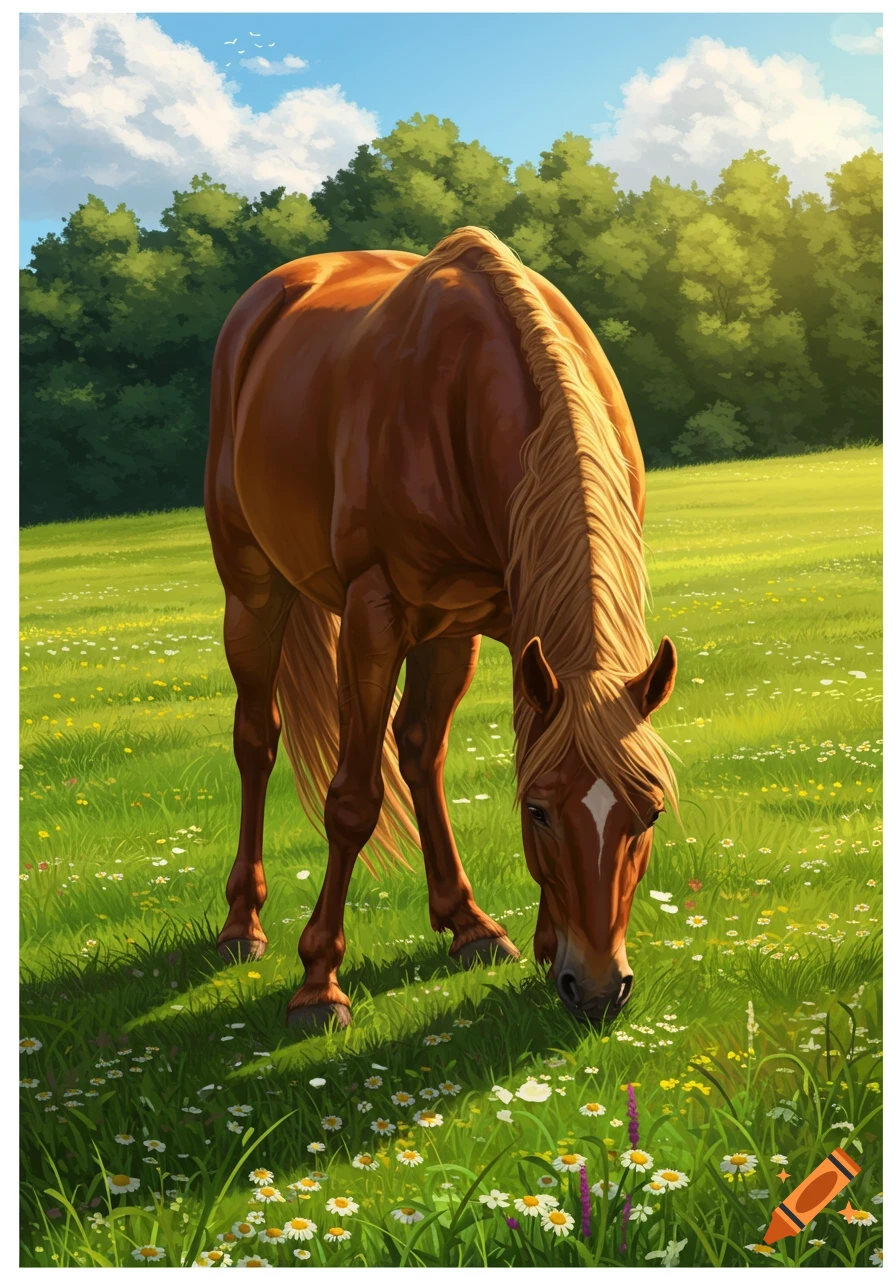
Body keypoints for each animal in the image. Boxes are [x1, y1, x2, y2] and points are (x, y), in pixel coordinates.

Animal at [205, 225, 678, 1030]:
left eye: (646, 813)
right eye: (539, 813)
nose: (597, 991)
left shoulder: (512, 622)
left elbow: (495, 745)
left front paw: (537, 943)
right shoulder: (374, 615)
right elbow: (352, 801)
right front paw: (319, 985)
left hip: (447, 633)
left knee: (420, 752)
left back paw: (469, 925)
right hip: (254, 587)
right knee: (256, 740)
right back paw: (243, 923)